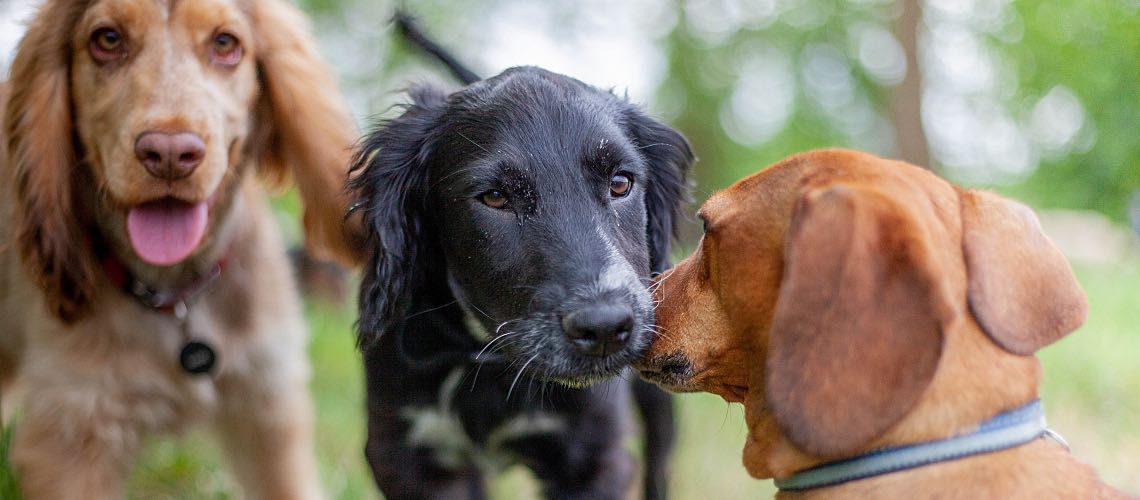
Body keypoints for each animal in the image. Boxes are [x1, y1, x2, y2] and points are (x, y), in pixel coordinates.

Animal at [351, 17, 693, 498]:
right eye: (495, 197)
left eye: (621, 183)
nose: (606, 328)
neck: (492, 363)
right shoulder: (404, 455)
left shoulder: (596, 456)